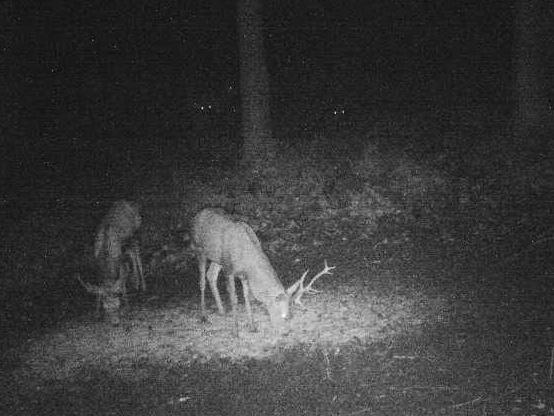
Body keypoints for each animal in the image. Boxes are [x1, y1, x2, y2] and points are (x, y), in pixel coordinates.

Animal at [191, 208, 335, 332]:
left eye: (290, 316)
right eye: (284, 316)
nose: (285, 331)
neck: (247, 258)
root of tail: (198, 214)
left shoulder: (244, 275)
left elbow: (247, 296)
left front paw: (252, 326)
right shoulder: (229, 268)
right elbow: (234, 298)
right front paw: (236, 331)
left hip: (216, 259)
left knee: (211, 275)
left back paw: (221, 311)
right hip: (200, 249)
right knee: (202, 280)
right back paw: (204, 316)